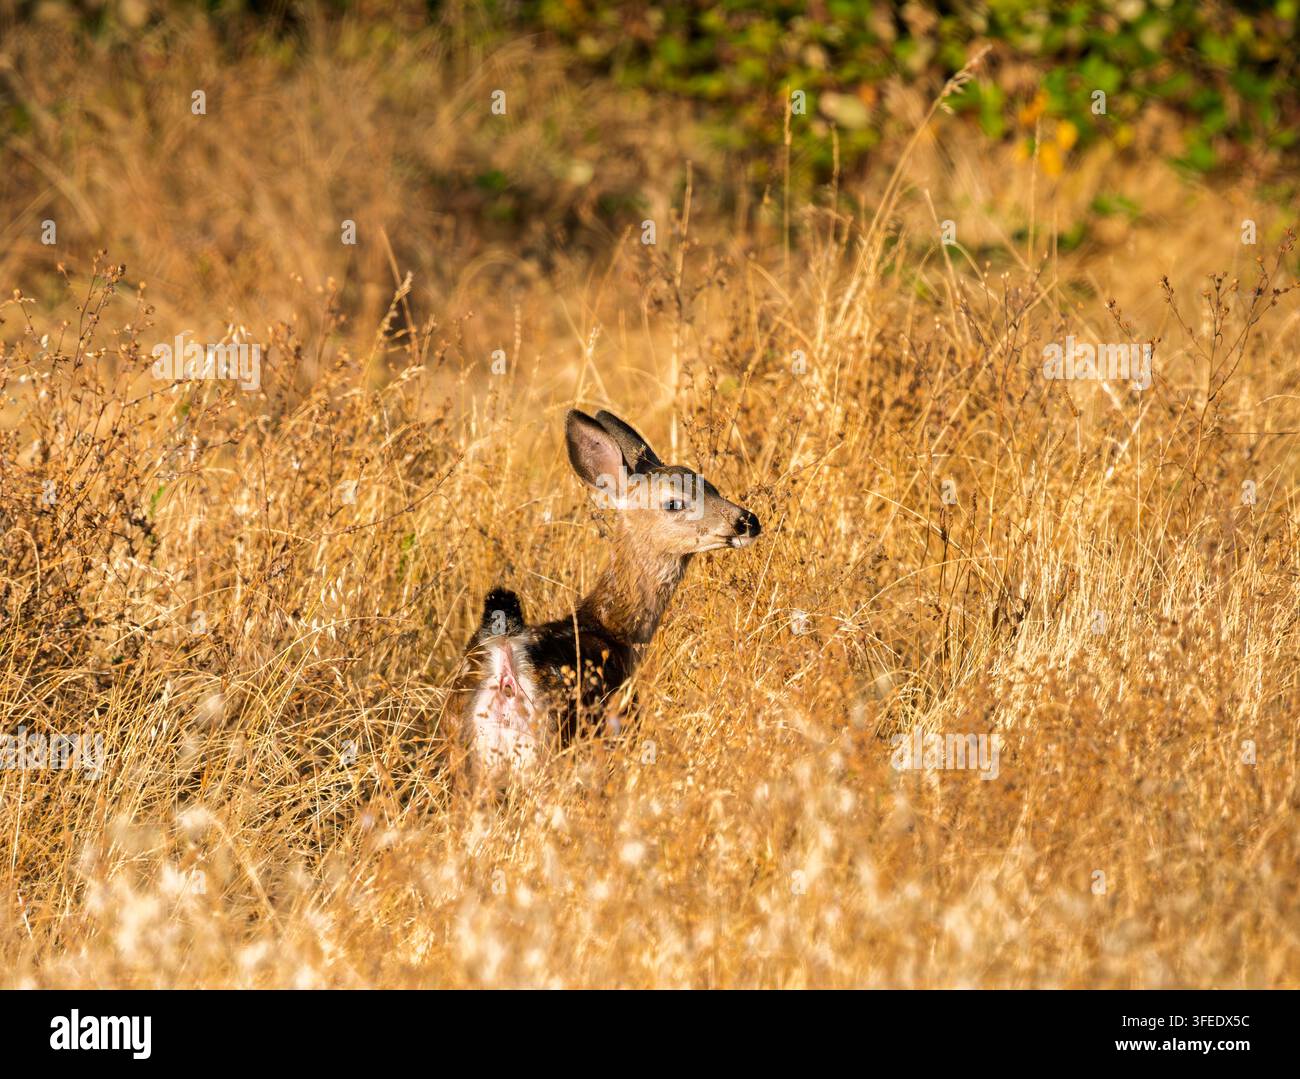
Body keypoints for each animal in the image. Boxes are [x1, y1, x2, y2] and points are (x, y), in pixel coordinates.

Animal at [454, 408, 761, 791]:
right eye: (674, 503)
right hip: (552, 747)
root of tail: (506, 669)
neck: (613, 631)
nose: (747, 521)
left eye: (712, 486)